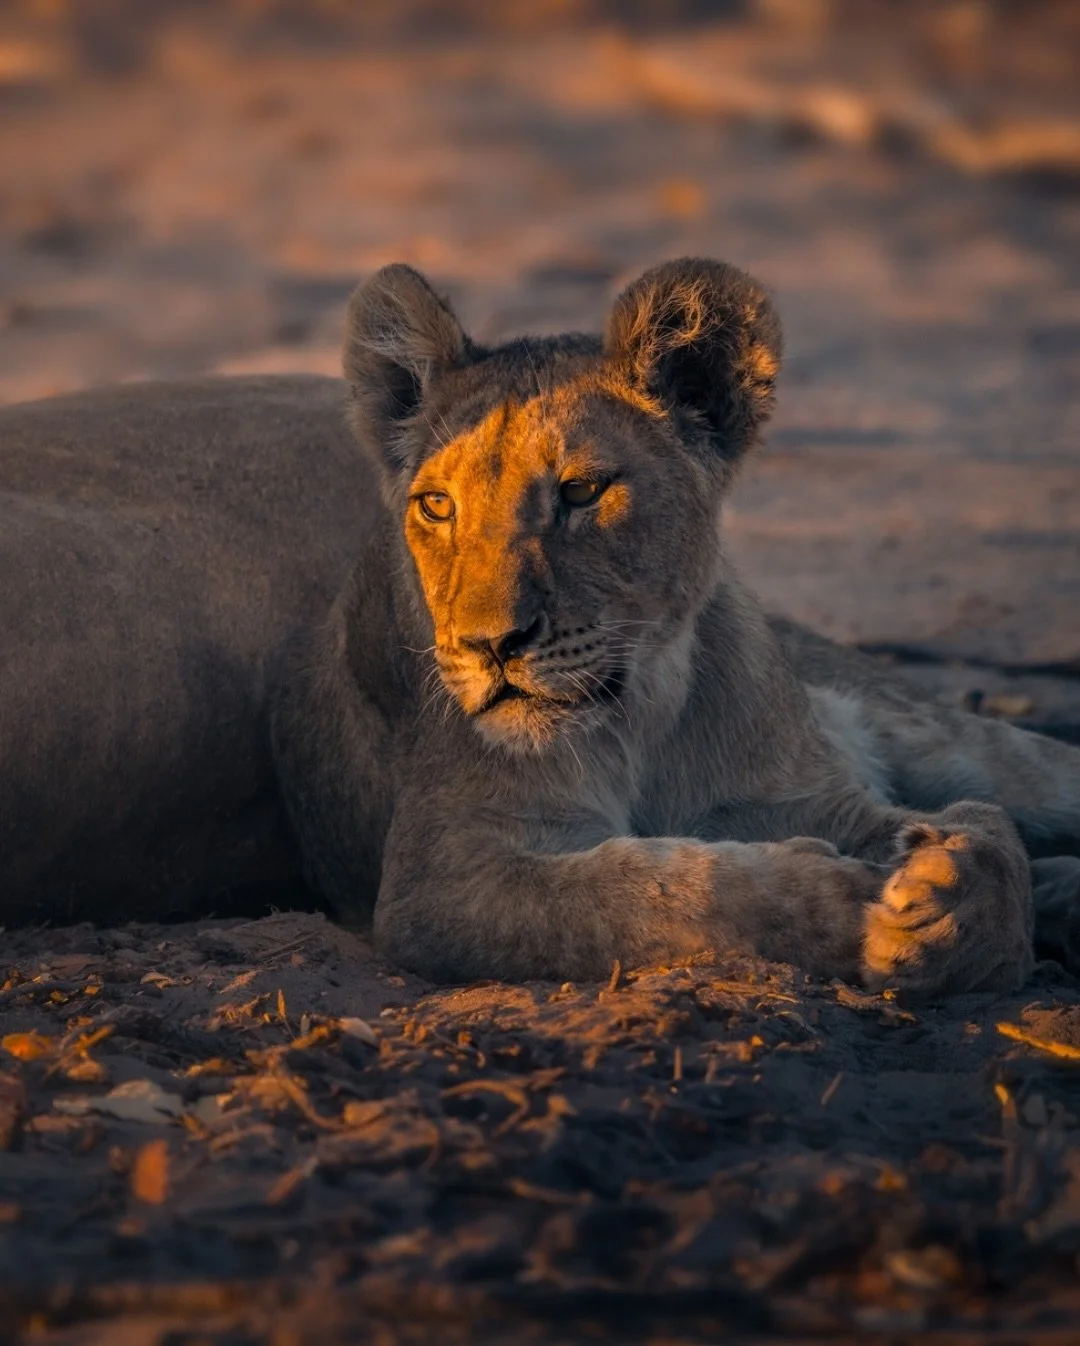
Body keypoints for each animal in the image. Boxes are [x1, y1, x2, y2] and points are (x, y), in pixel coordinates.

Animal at [2, 258, 1079, 996]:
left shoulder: (804, 790)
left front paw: (958, 888)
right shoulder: (443, 877)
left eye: (583, 492)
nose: (490, 646)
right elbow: (648, 894)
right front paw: (856, 905)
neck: (647, 714)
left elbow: (970, 836)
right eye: (436, 506)